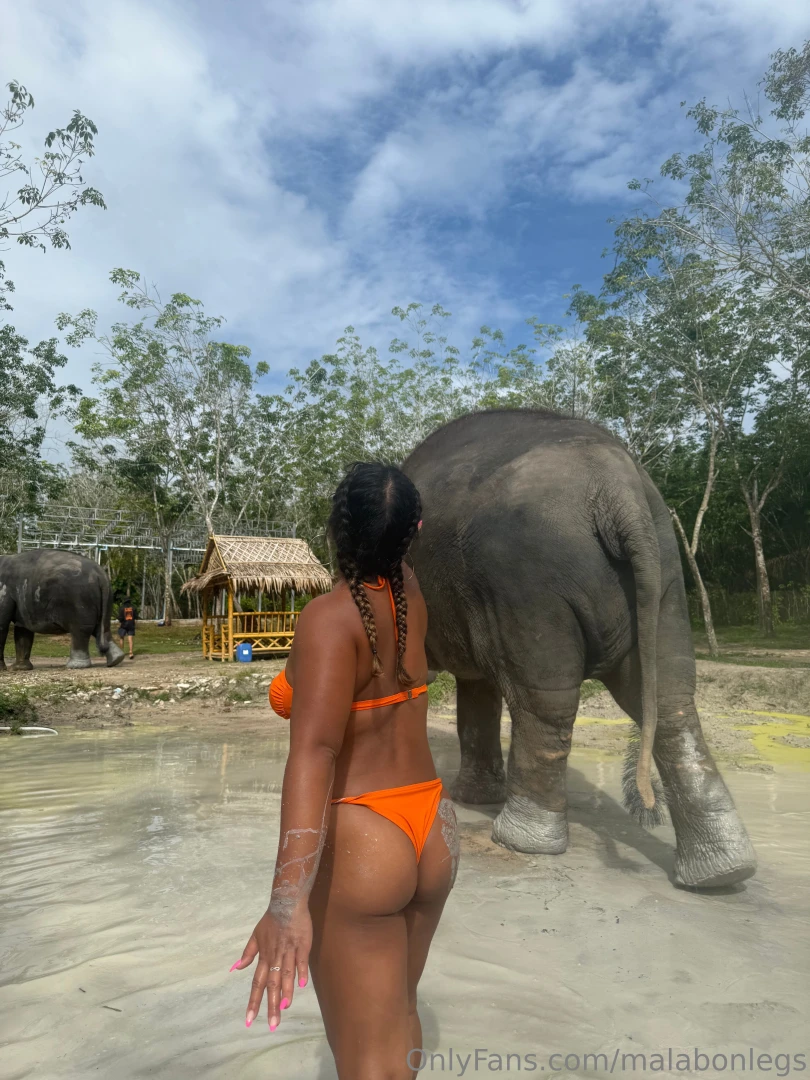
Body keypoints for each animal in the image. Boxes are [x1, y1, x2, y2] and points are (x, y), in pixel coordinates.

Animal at [403, 409, 756, 889]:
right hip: (663, 575)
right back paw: (723, 872)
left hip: (529, 580)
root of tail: (617, 490)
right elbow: (476, 685)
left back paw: (520, 840)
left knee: (545, 699)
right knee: (670, 697)